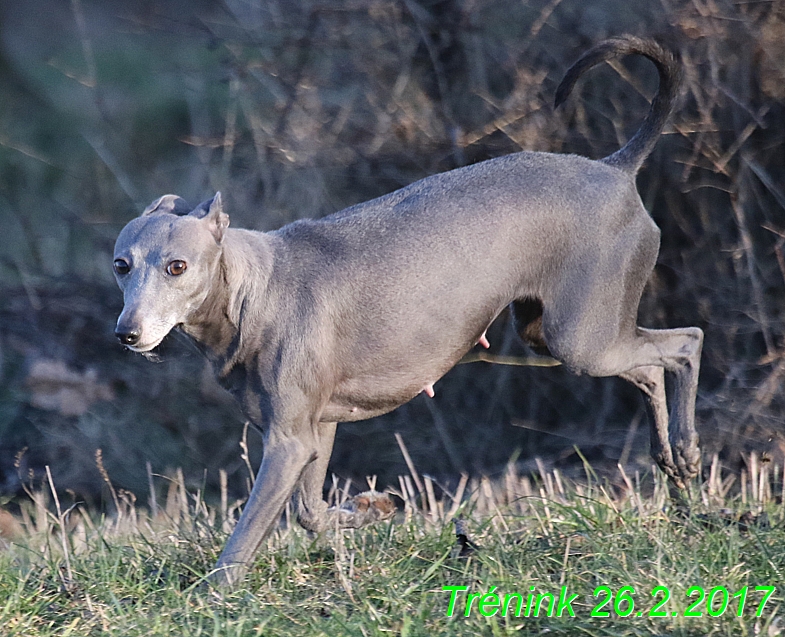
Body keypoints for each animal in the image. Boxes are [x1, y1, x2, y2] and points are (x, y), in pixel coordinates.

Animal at [112, 37, 704, 588]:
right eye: (121, 264)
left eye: (177, 267)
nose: (127, 334)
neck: (251, 292)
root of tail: (616, 169)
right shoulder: (316, 428)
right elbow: (311, 513)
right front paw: (373, 508)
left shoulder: (287, 441)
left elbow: (246, 536)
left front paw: (213, 595)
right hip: (550, 330)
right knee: (649, 369)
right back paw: (673, 469)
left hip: (580, 339)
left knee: (686, 343)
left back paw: (687, 450)